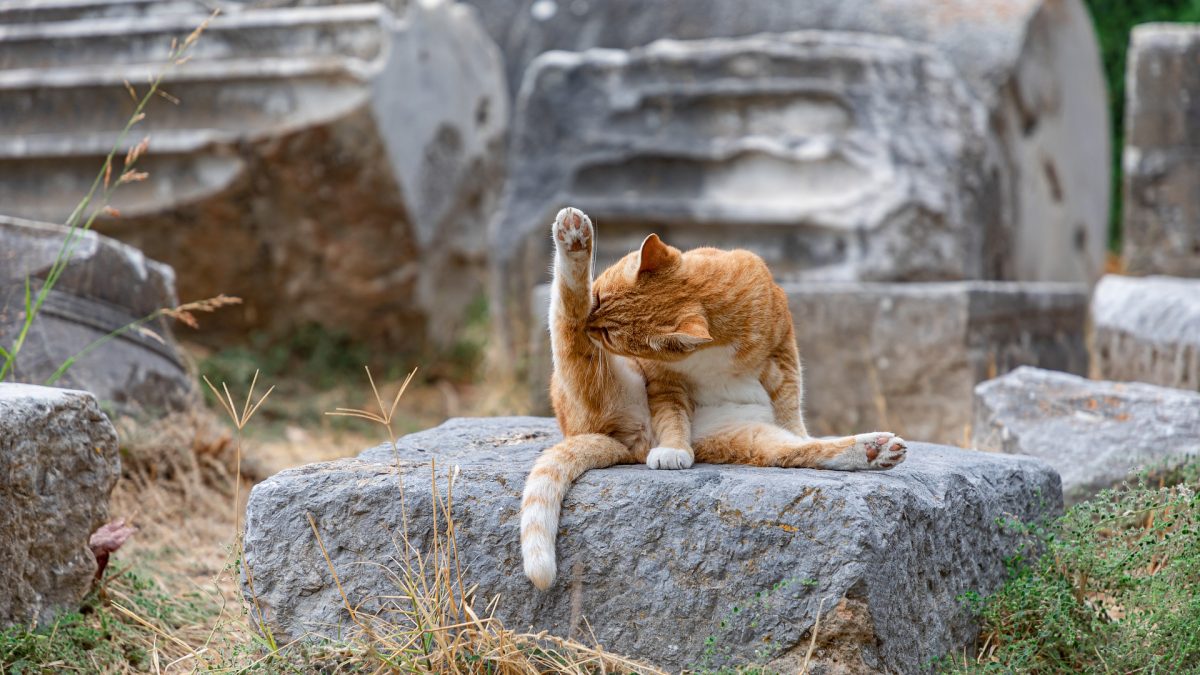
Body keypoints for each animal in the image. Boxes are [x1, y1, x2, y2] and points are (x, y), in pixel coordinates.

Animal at [520, 206, 902, 588]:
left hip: (746, 436)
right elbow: (672, 416)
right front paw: (673, 450)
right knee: (567, 321)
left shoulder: (783, 352)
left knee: (799, 450)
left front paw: (801, 427)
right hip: (598, 381)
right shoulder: (664, 380)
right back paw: (574, 239)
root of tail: (627, 445)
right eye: (596, 298)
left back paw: (873, 450)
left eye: (610, 335)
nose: (591, 322)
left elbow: (790, 403)